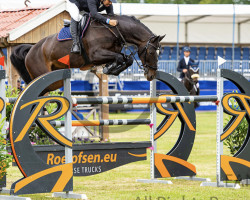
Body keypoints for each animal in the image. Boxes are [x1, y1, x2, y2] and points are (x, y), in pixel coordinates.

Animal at [10, 14, 164, 94]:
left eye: (160, 52)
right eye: (151, 52)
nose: (151, 75)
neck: (113, 31)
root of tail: (31, 49)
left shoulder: (109, 53)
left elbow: (126, 59)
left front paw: (111, 69)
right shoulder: (95, 55)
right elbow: (121, 57)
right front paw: (110, 69)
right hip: (42, 76)